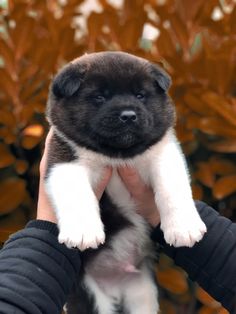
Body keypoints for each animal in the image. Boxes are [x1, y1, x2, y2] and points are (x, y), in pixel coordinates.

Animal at [45, 52, 206, 314]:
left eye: (140, 95)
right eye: (99, 97)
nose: (128, 115)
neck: (117, 156)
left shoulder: (164, 155)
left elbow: (172, 189)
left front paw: (184, 228)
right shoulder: (64, 161)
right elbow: (78, 195)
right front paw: (83, 232)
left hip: (142, 292)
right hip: (89, 295)